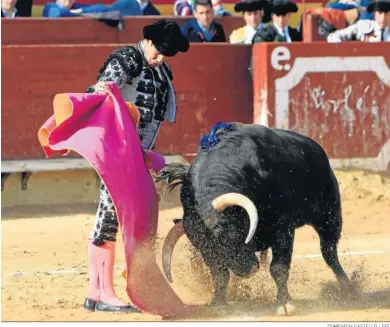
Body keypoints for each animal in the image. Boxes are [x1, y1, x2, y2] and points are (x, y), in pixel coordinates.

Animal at [155, 124, 356, 316]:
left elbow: (278, 268)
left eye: (231, 233)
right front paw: (218, 303)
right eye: (203, 248)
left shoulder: (282, 227)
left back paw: (349, 289)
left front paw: (284, 304)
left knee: (329, 252)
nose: (248, 270)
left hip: (329, 216)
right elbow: (219, 275)